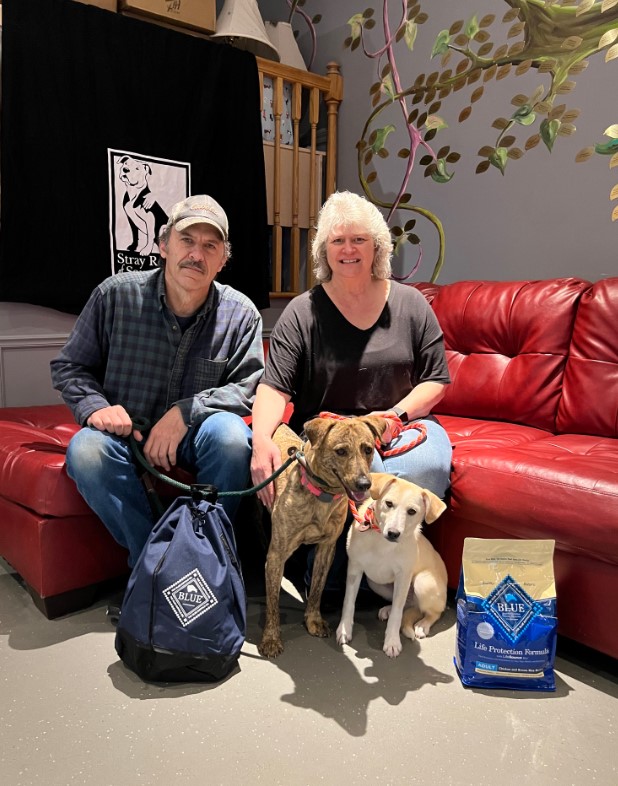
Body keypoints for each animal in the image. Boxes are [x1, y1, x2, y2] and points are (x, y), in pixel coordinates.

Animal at [256, 414, 384, 660]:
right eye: (341, 451)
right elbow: (273, 602)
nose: (364, 484)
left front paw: (313, 620)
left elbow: (317, 588)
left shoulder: (327, 549)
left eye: (368, 449)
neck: (322, 495)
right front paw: (271, 638)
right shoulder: (276, 555)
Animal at [334, 472, 446, 656]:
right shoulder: (354, 569)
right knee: (408, 606)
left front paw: (392, 641)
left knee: (432, 612)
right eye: (388, 503)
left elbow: (397, 614)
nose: (393, 533)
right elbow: (348, 603)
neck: (382, 542)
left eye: (412, 511)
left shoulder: (403, 577)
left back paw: (422, 625)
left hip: (423, 582)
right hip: (375, 583)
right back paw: (388, 608)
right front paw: (344, 629)